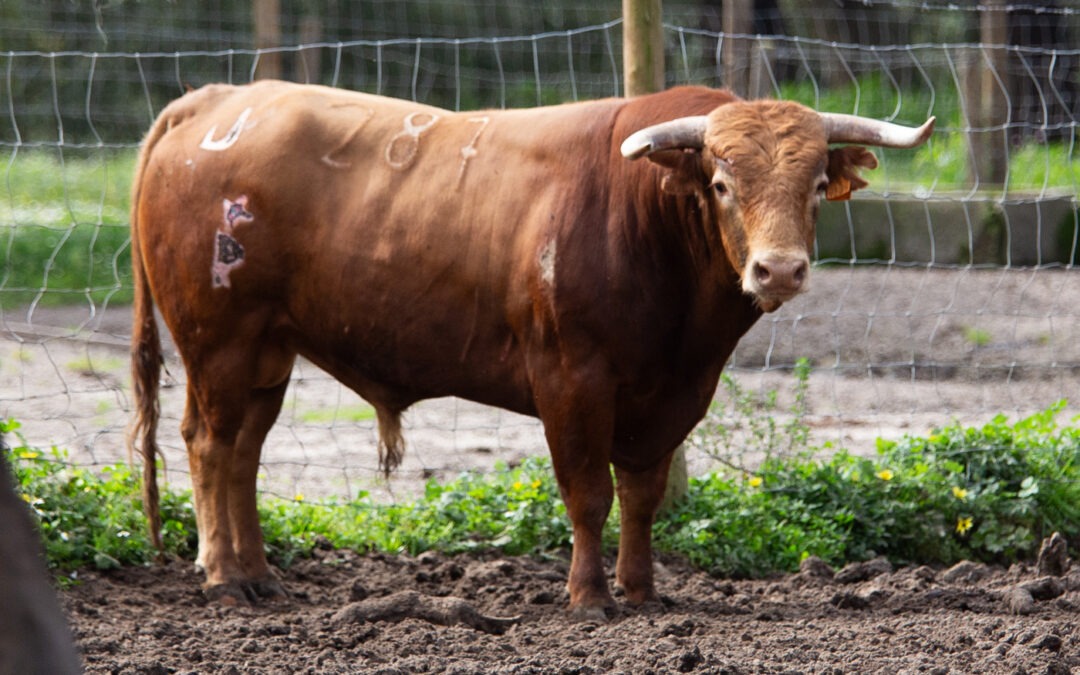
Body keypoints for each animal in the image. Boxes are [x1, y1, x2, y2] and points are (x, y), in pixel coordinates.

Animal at [130, 80, 933, 617]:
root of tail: (220, 98)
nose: (779, 270)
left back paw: (260, 573)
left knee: (244, 452)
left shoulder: (674, 393)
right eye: (722, 182)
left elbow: (642, 495)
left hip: (269, 352)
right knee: (209, 443)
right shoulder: (570, 379)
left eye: (815, 183)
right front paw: (589, 596)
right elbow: (589, 492)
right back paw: (223, 576)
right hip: (218, 341)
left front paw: (642, 590)